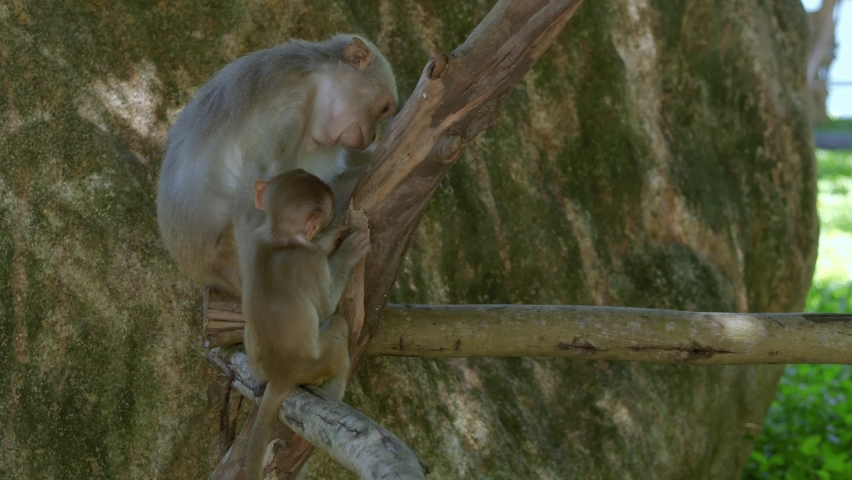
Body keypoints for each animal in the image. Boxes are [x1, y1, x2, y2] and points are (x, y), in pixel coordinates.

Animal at [156, 34, 396, 295]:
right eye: (384, 108)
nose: (372, 136)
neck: (317, 88)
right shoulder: (286, 109)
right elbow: (254, 210)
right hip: (229, 260)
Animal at [242, 169, 371, 480]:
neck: (277, 236)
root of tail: (281, 375)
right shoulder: (310, 261)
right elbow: (325, 305)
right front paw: (344, 250)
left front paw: (330, 239)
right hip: (315, 364)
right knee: (338, 327)